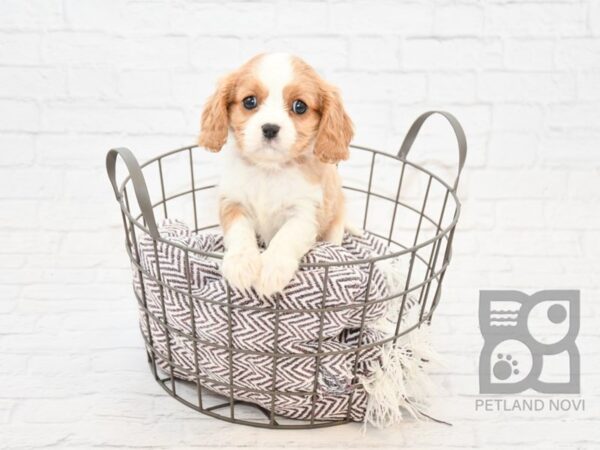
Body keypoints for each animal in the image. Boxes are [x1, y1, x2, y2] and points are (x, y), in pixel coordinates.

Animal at [199, 52, 354, 298]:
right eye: (249, 101)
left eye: (299, 106)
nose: (270, 128)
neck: (269, 170)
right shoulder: (233, 202)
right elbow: (239, 231)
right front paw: (241, 263)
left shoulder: (304, 213)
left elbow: (286, 238)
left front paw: (271, 269)